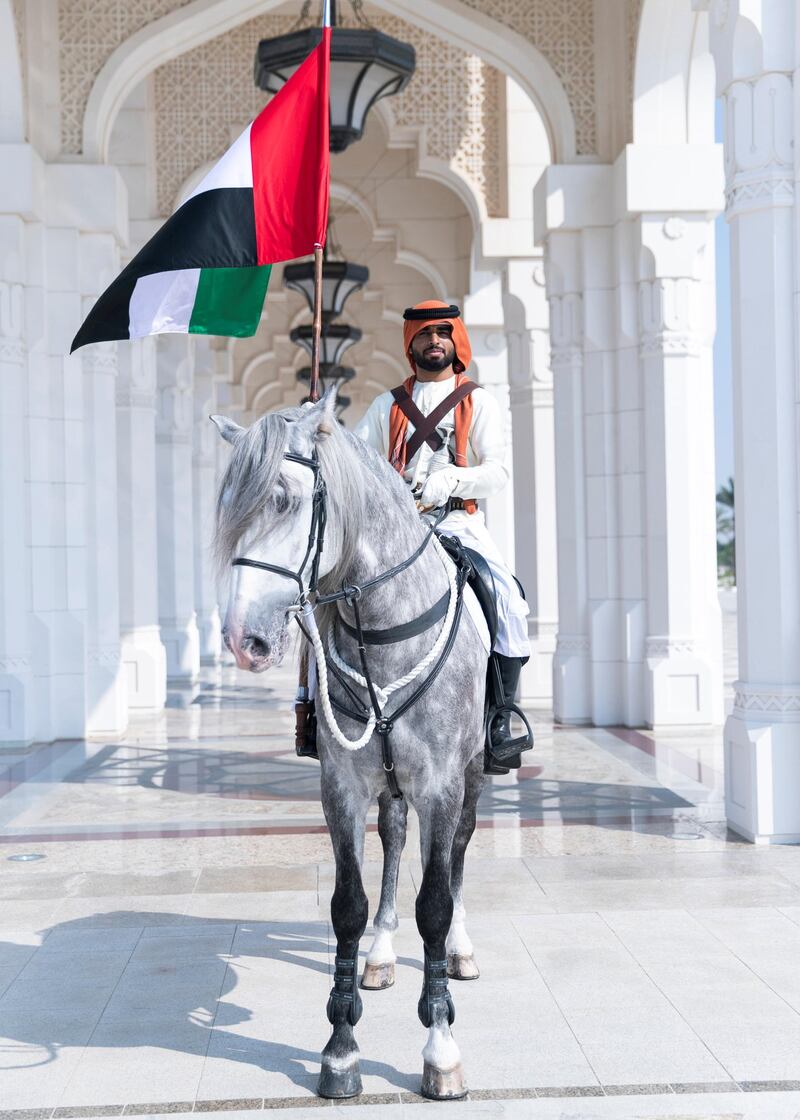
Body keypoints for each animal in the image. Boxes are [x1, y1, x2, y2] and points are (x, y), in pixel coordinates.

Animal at [211, 389, 486, 1097]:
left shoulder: (442, 783)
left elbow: (435, 903)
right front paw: (339, 1048)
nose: (243, 641)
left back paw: (461, 950)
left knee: (460, 852)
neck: (383, 633)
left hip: (473, 772)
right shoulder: (341, 786)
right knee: (392, 839)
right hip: (387, 781)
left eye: (284, 500)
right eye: (230, 510)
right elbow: (348, 907)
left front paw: (441, 1046)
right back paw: (382, 955)